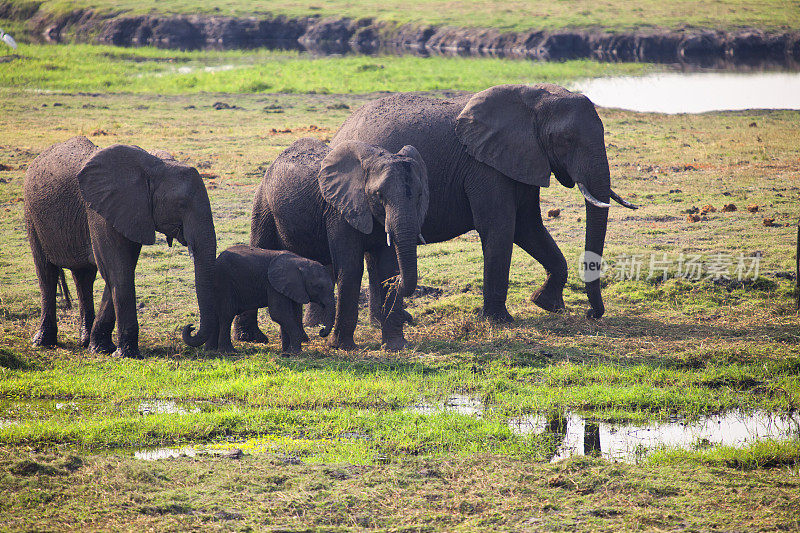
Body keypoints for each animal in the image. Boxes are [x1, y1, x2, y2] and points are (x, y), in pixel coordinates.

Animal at [25, 135, 219, 358]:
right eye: (181, 205)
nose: (190, 327)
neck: (154, 166)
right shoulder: (100, 212)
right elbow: (117, 270)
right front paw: (126, 354)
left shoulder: (131, 212)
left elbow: (119, 271)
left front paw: (101, 348)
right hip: (31, 215)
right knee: (46, 274)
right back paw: (42, 343)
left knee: (84, 277)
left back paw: (84, 341)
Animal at [184, 244, 334, 354]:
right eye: (318, 287)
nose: (321, 331)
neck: (300, 262)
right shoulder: (273, 285)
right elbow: (279, 313)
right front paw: (294, 353)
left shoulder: (293, 288)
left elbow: (290, 314)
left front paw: (287, 352)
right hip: (225, 281)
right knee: (227, 314)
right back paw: (229, 352)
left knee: (217, 314)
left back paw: (210, 350)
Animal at [234, 137, 428, 350]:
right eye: (379, 195)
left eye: (420, 195)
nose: (398, 283)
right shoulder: (339, 211)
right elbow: (350, 268)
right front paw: (342, 346)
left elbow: (388, 266)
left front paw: (396, 346)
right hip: (263, 205)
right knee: (259, 249)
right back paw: (250, 338)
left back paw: (302, 339)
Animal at [328, 84, 636, 320]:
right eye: (566, 139)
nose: (591, 314)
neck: (531, 99)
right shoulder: (484, 166)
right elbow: (500, 227)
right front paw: (500, 321)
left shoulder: (521, 159)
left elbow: (528, 227)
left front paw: (546, 305)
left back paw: (388, 320)